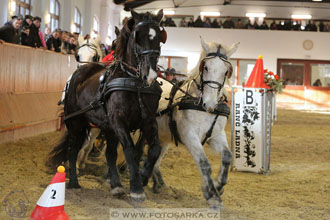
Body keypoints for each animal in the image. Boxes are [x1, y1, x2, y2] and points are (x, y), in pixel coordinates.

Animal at [48, 10, 165, 203]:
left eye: (159, 37)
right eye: (137, 36)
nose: (150, 74)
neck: (135, 84)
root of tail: (80, 72)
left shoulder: (147, 121)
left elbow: (153, 149)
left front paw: (142, 177)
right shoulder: (119, 121)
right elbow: (130, 150)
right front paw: (136, 188)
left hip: (105, 126)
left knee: (108, 152)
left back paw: (115, 184)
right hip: (76, 121)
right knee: (73, 148)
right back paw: (74, 181)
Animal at [141, 37, 238, 208]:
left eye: (226, 71)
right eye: (205, 67)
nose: (210, 104)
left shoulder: (216, 135)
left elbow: (227, 156)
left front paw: (218, 185)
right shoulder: (189, 136)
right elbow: (204, 163)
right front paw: (211, 194)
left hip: (163, 137)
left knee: (156, 158)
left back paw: (158, 183)